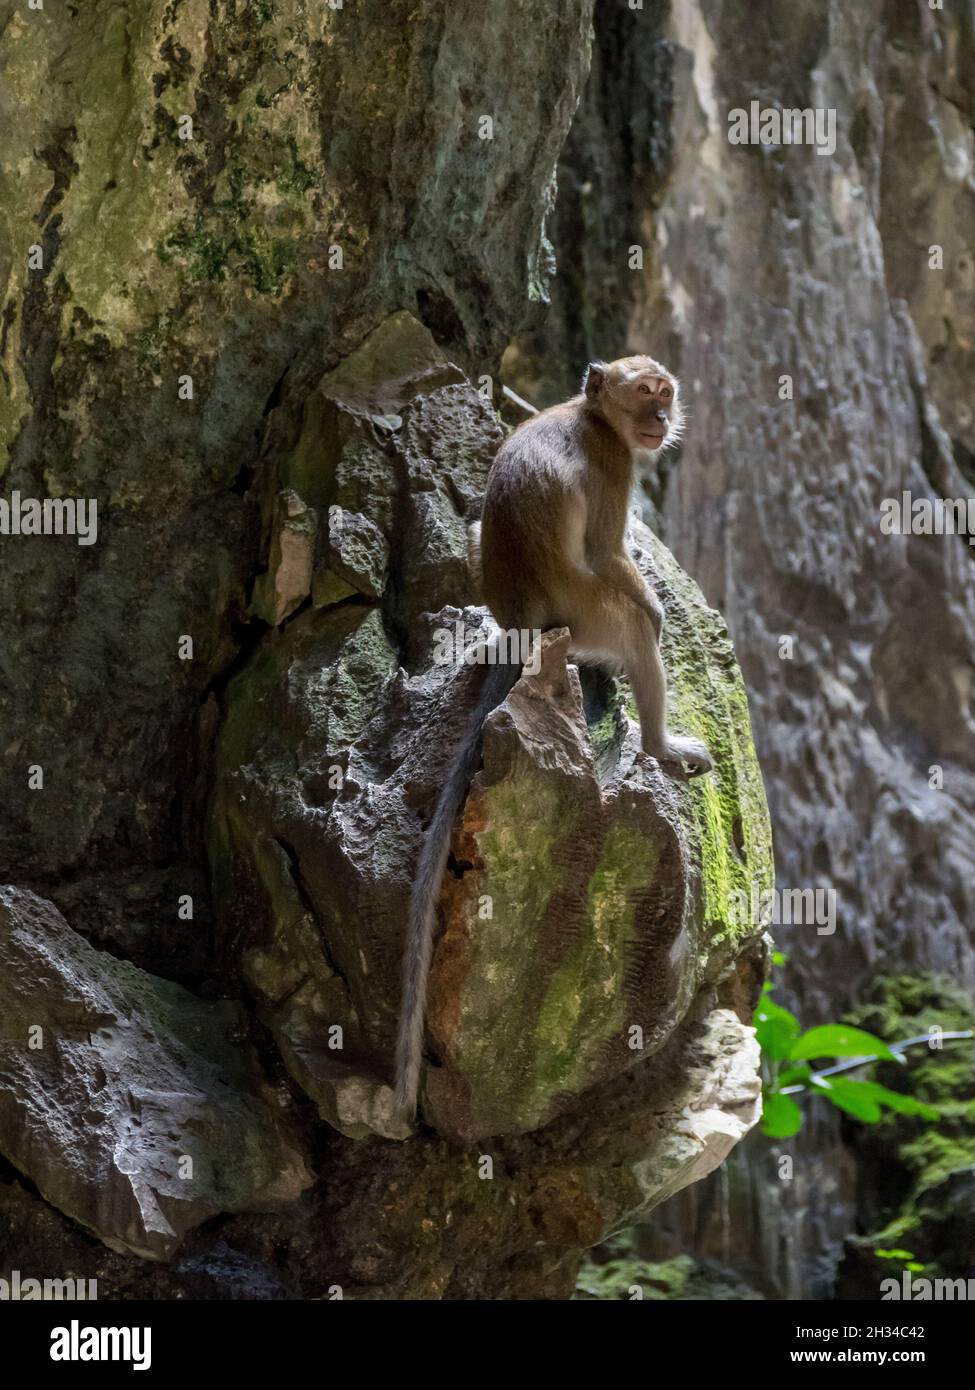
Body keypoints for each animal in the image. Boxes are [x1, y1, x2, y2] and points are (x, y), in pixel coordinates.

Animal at [395, 355, 706, 1117]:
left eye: (665, 392)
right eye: (644, 393)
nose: (660, 417)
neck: (591, 414)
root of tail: (525, 621)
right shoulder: (612, 464)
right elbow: (607, 551)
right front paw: (657, 606)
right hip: (588, 611)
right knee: (631, 627)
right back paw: (660, 745)